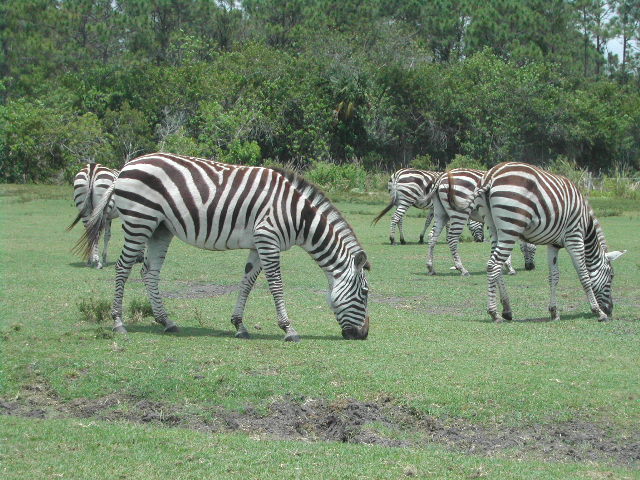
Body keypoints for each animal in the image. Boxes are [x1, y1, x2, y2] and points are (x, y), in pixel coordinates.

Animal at [76, 154, 370, 342]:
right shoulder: (268, 238)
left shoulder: (258, 244)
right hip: (140, 220)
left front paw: (239, 325)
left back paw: (166, 321)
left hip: (160, 227)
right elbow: (275, 284)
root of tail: (127, 167)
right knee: (123, 268)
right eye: (365, 293)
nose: (364, 335)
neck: (298, 215)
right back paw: (118, 322)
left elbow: (248, 282)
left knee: (149, 271)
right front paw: (289, 330)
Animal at [470, 162, 624, 322]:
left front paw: (554, 311)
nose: (610, 310)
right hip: (511, 227)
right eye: (611, 276)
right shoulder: (574, 238)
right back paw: (494, 313)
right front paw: (598, 312)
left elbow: (554, 276)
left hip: (493, 228)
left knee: (497, 266)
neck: (586, 225)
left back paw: (507, 310)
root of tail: (491, 175)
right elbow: (584, 276)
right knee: (493, 265)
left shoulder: (553, 244)